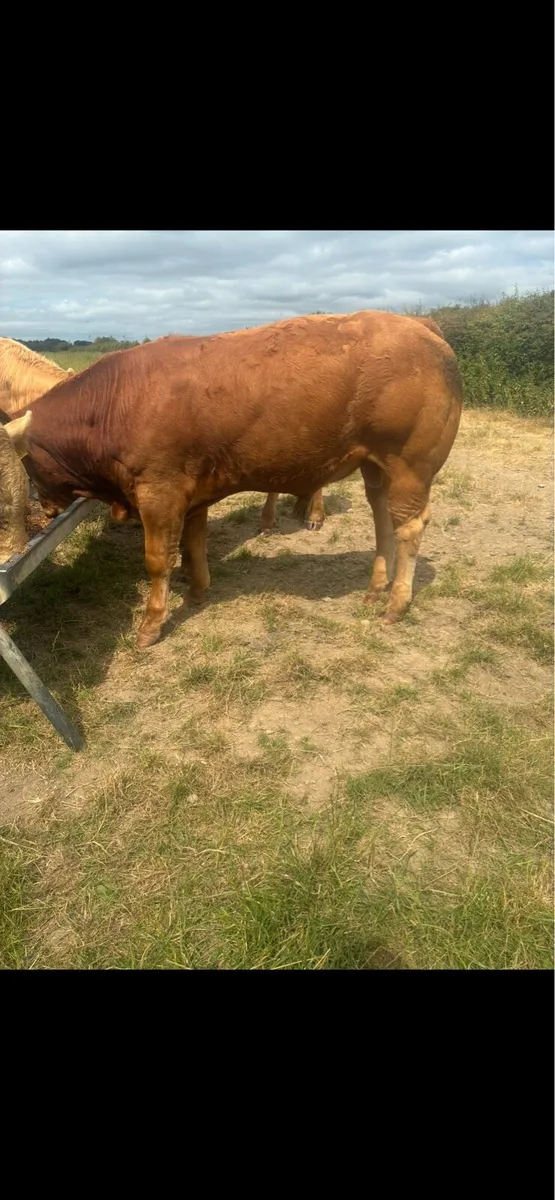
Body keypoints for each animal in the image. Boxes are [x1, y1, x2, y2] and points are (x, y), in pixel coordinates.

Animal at [6, 310, 463, 649]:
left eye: (25, 468)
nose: (44, 510)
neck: (115, 402)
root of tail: (417, 323)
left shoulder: (159, 491)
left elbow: (158, 559)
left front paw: (152, 624)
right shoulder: (190, 493)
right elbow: (193, 545)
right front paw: (196, 592)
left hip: (410, 465)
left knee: (409, 527)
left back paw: (396, 603)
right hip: (376, 467)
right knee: (383, 520)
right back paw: (374, 589)